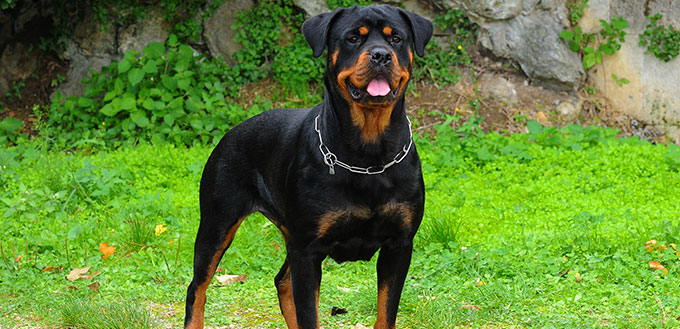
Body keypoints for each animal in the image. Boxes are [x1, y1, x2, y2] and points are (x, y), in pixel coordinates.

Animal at [183, 5, 432, 328]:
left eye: (396, 38)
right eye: (353, 38)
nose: (381, 55)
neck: (369, 154)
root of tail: (230, 133)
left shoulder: (399, 245)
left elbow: (385, 313)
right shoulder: (308, 250)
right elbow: (309, 313)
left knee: (281, 281)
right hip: (218, 223)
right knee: (197, 287)